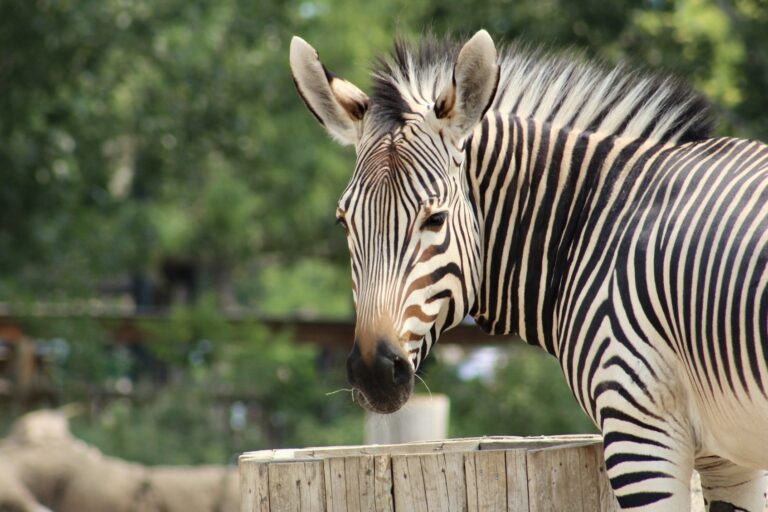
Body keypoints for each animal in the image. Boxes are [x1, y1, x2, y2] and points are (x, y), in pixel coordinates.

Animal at [288, 30, 768, 510]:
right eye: (343, 222)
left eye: (435, 219)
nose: (374, 374)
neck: (592, 221)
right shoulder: (730, 462)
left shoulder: (639, 426)